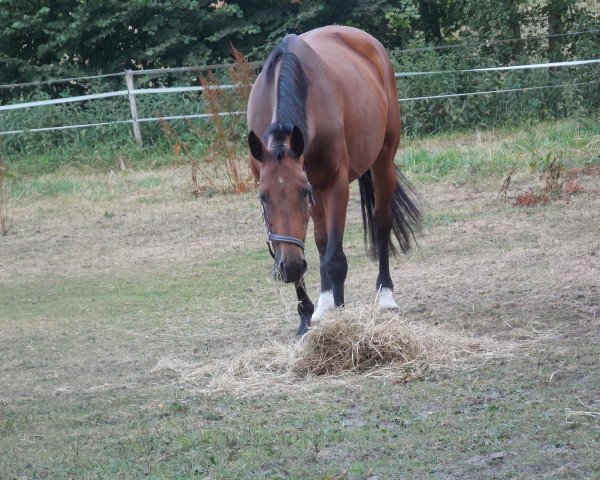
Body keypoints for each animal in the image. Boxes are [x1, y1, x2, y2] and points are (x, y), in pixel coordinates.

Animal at [246, 24, 420, 336]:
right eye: (263, 197)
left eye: (302, 192)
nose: (290, 267)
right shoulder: (307, 185)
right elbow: (313, 246)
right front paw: (306, 317)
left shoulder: (334, 185)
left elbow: (335, 259)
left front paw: (340, 318)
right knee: (320, 239)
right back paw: (324, 302)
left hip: (382, 161)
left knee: (382, 222)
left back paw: (385, 295)